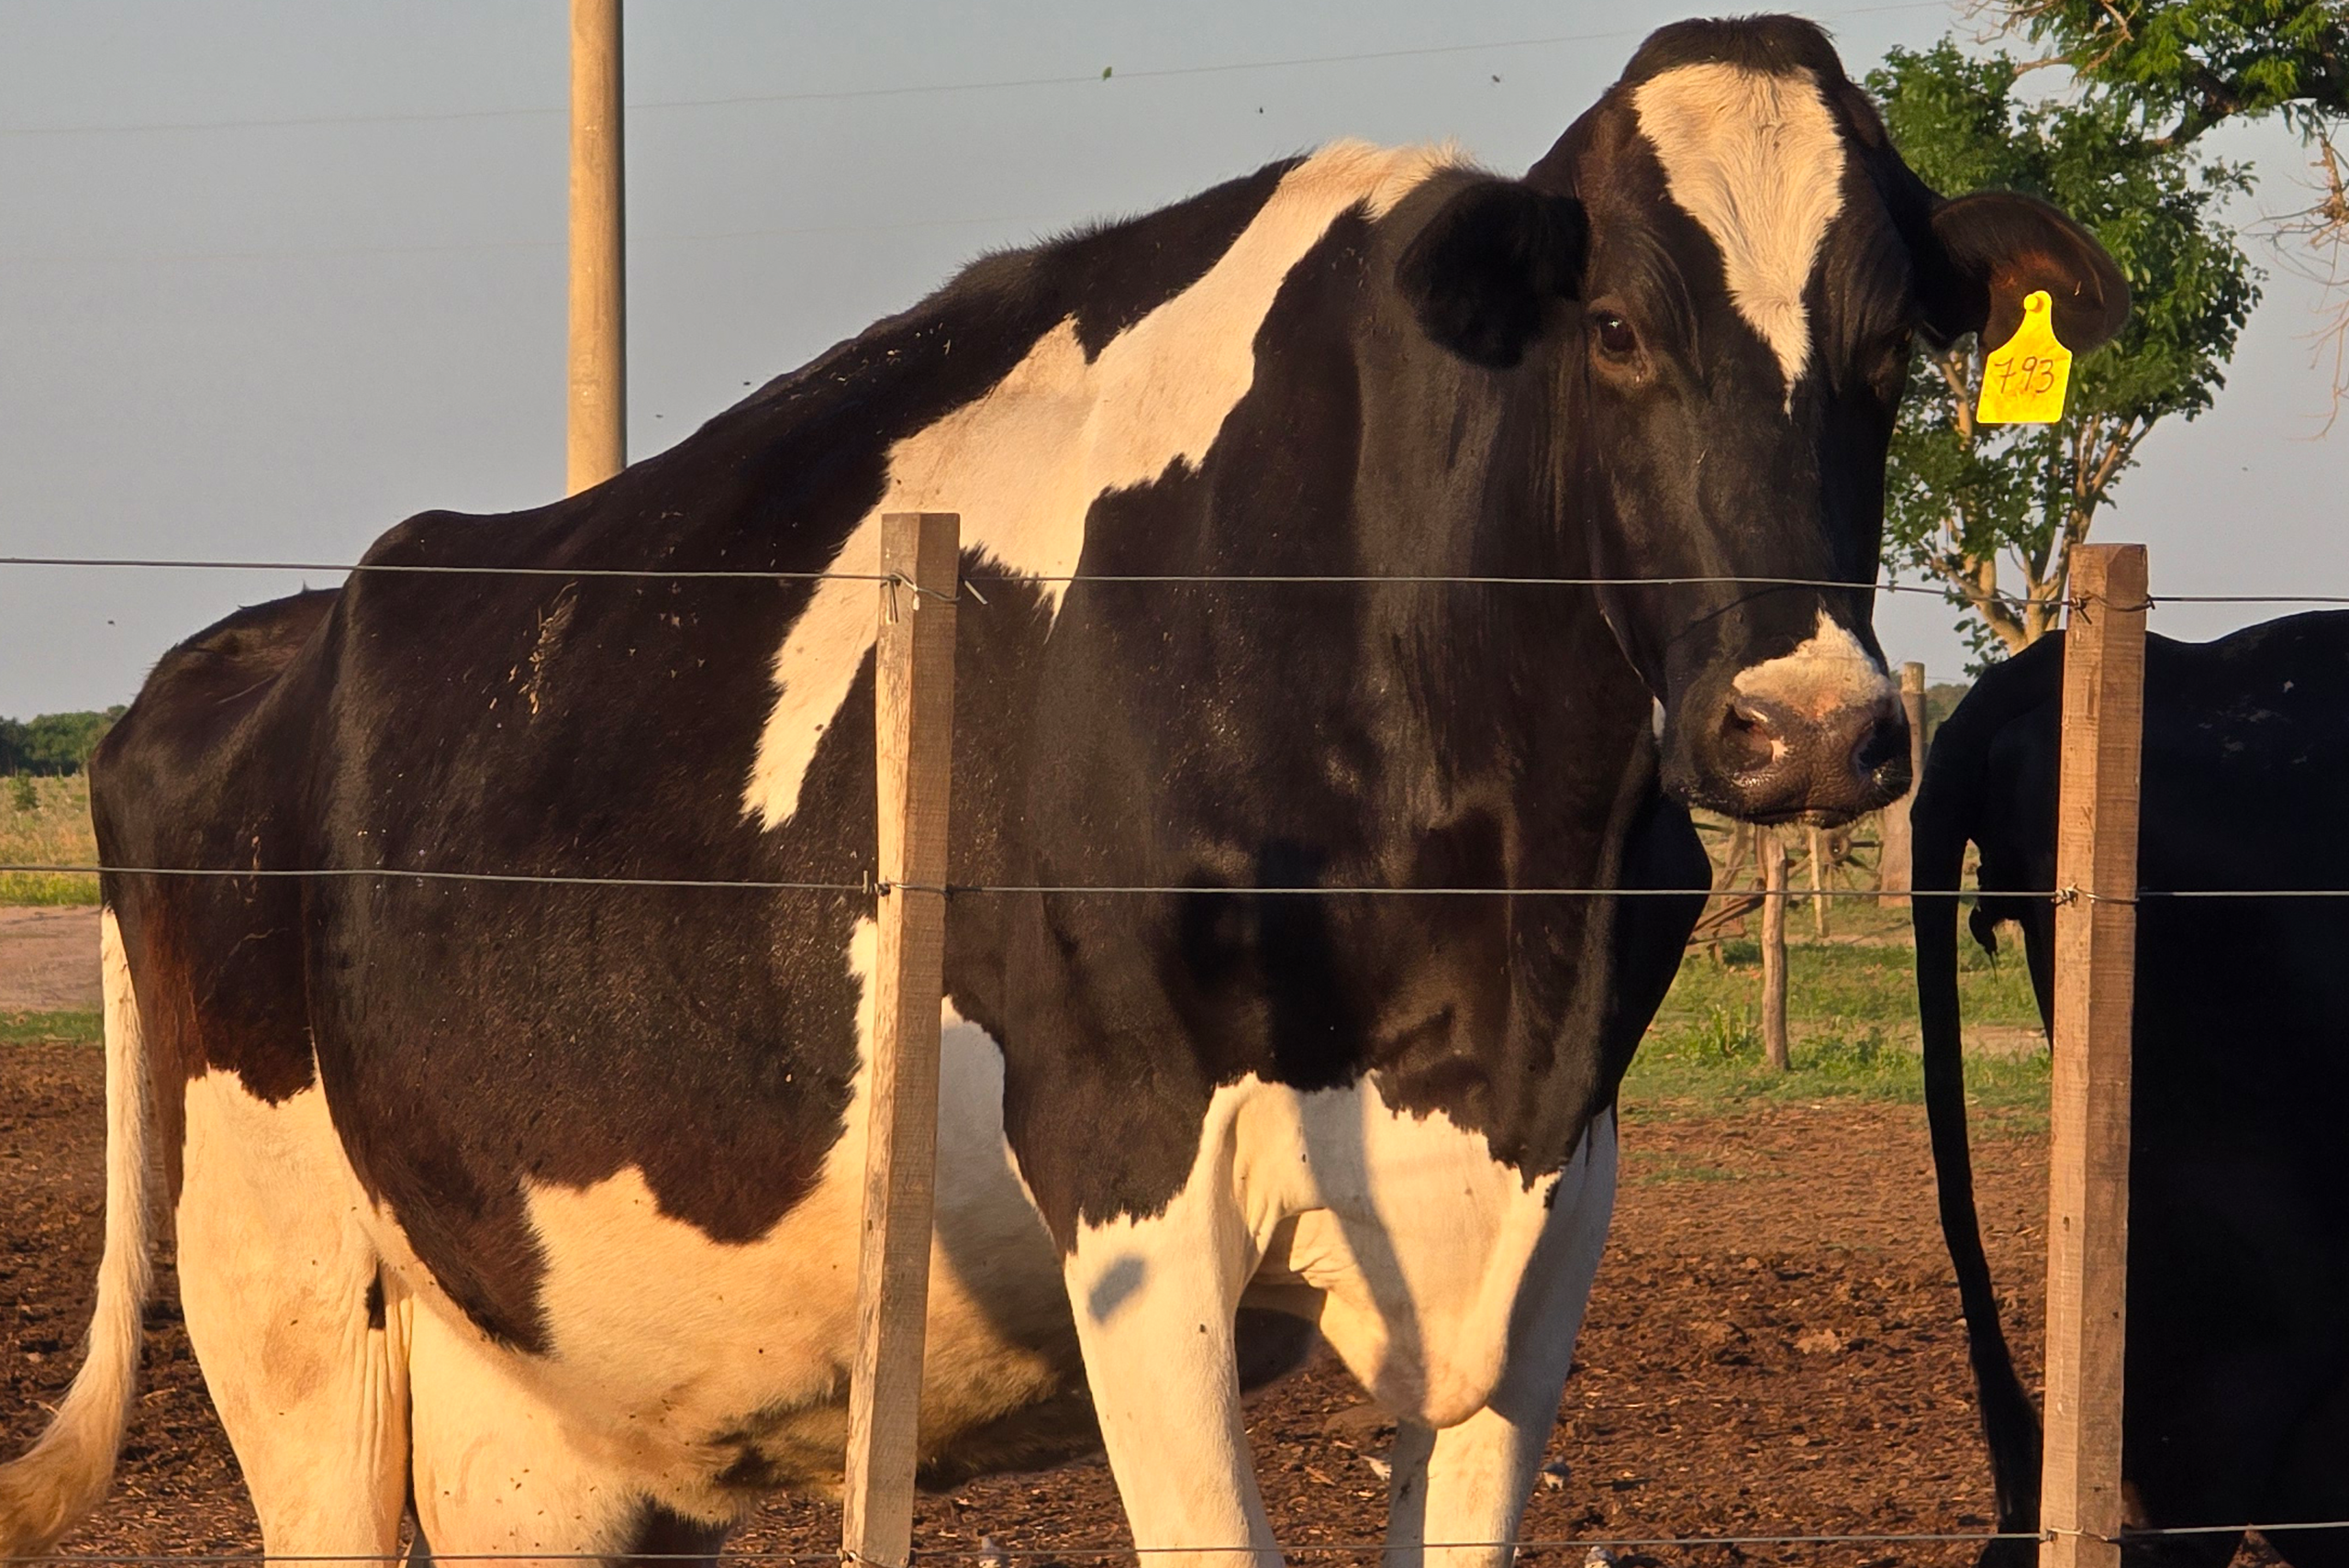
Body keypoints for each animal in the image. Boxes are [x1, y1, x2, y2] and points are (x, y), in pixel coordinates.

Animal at [5, 15, 2132, 1568]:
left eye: (1892, 350)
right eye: (1614, 329)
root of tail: (250, 643)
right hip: (290, 1295)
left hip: (562, 1414)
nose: (1812, 727)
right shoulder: (1128, 1165)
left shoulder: (1548, 1201)